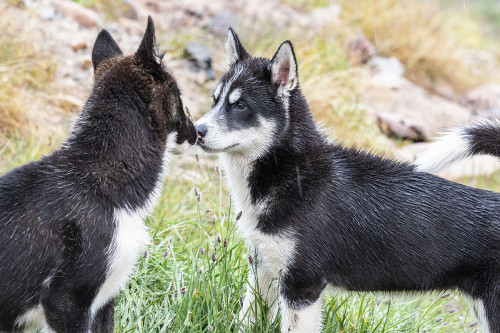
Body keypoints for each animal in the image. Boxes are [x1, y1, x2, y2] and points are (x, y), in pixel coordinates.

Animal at [194, 28, 500, 332]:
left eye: (240, 105)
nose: (196, 130)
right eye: (214, 100)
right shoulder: (263, 268)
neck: (293, 173)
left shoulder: (302, 287)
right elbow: (247, 317)